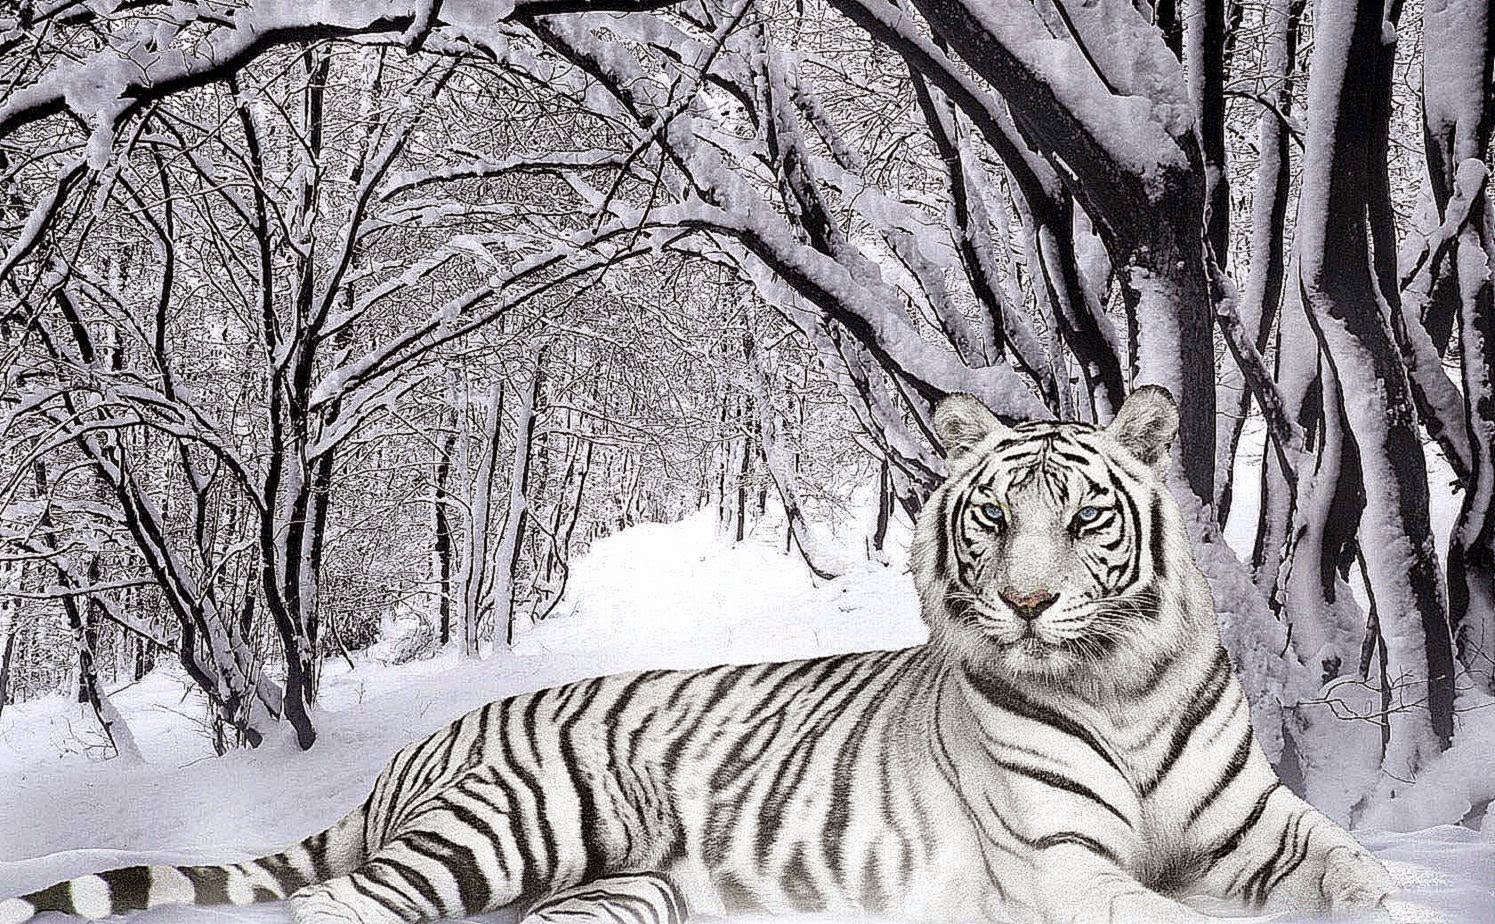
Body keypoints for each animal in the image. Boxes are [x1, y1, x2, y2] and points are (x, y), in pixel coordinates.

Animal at [1, 385, 1393, 924]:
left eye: (1083, 517)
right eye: (993, 518)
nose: (1029, 604)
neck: (1117, 684)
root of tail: (420, 746)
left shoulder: (1261, 823)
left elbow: (1361, 873)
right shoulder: (1061, 866)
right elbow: (1172, 915)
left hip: (620, 893)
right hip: (514, 822)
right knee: (340, 905)